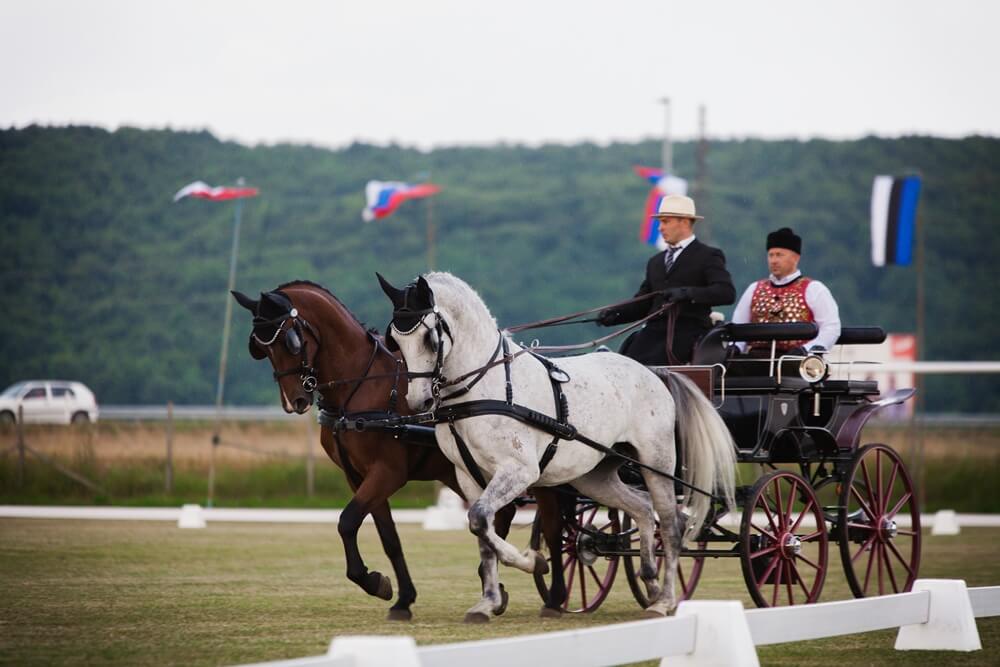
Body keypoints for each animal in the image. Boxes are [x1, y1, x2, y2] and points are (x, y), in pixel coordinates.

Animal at [230, 282, 568, 620]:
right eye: (260, 347)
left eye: (292, 341)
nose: (295, 401)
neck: (362, 386)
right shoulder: (359, 476)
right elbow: (388, 537)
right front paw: (401, 597)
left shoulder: (387, 472)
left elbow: (347, 521)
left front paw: (374, 581)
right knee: (503, 515)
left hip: (538, 473)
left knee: (552, 527)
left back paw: (551, 597)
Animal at [378, 272, 740, 620]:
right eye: (394, 340)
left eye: (430, 338)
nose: (419, 401)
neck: (483, 387)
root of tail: (656, 372)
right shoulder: (469, 476)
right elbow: (481, 529)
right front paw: (487, 603)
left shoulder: (520, 471)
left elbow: (481, 519)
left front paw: (531, 561)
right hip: (596, 475)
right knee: (641, 508)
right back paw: (649, 580)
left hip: (658, 464)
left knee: (670, 522)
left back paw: (663, 600)